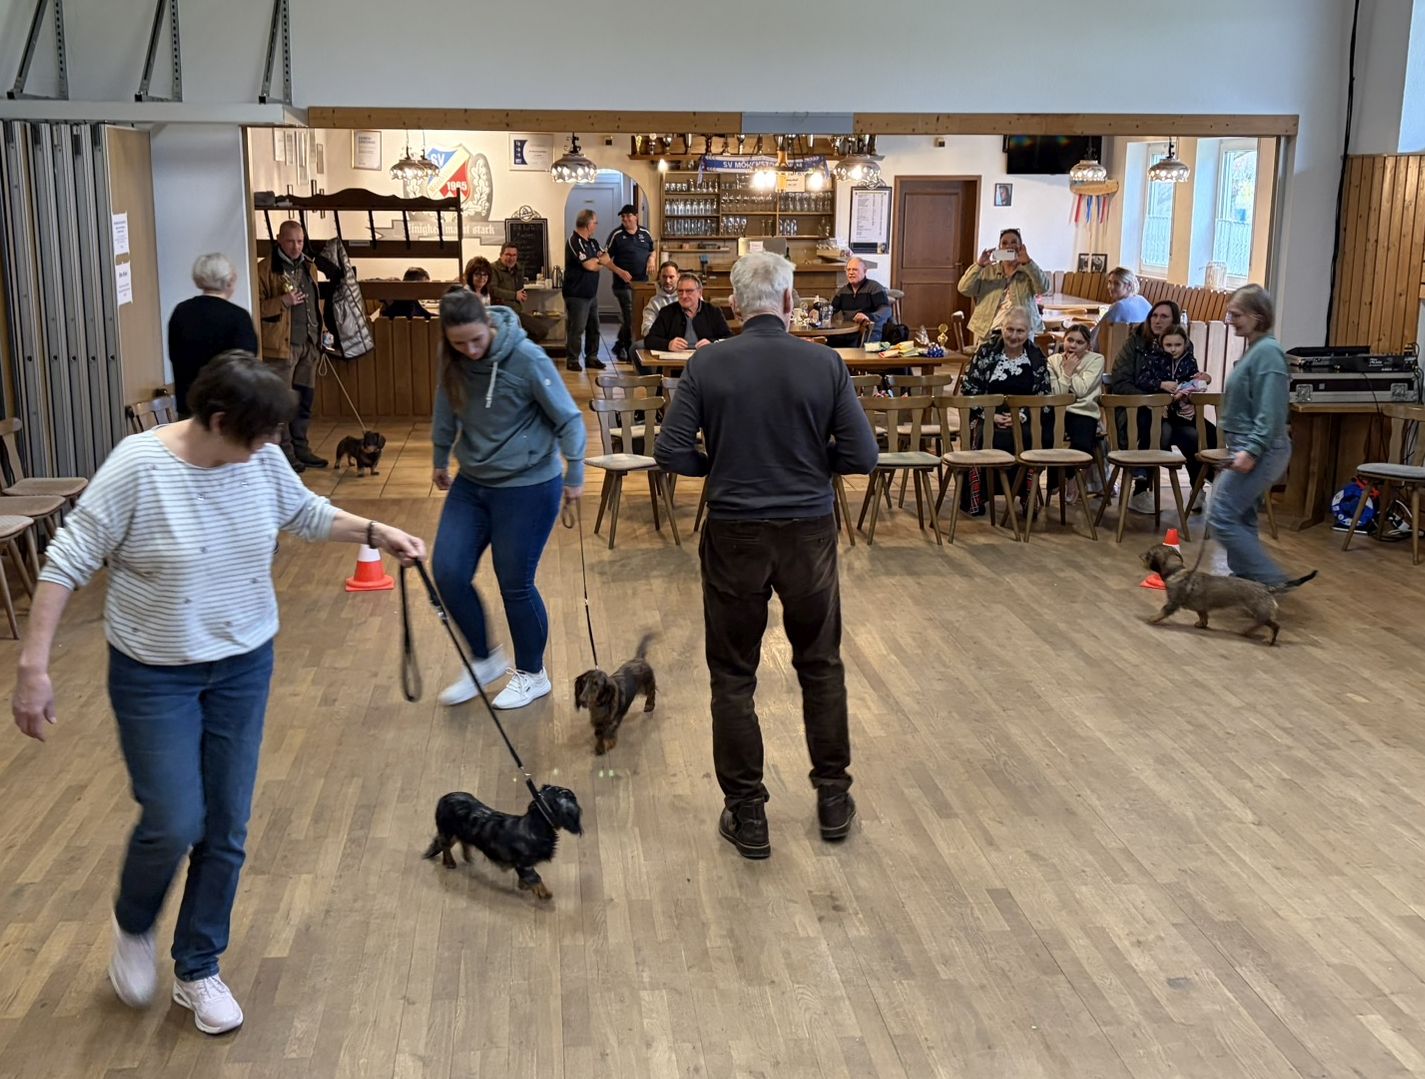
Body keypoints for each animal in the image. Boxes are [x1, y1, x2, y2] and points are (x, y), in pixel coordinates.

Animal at [421, 786, 582, 901]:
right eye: (571, 796)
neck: (534, 826)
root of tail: (443, 799)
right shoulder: (525, 865)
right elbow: (536, 879)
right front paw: (544, 893)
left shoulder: (523, 867)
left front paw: (524, 885)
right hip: (448, 832)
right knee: (445, 846)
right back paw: (450, 862)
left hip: (460, 833)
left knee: (461, 842)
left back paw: (467, 857)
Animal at [1140, 543, 1317, 645]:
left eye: (1148, 555)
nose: (1139, 556)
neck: (1176, 571)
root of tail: (1267, 588)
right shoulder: (1201, 607)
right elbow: (1203, 616)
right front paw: (1201, 624)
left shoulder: (1172, 603)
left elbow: (1162, 611)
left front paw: (1152, 618)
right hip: (1260, 613)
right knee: (1263, 624)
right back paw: (1249, 631)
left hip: (1261, 613)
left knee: (1274, 626)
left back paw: (1266, 638)